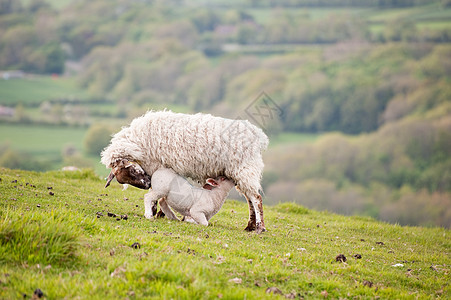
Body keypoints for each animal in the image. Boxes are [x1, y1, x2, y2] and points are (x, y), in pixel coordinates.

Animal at [102, 111, 270, 233]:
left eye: (130, 170)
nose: (146, 183)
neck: (139, 143)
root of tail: (258, 136)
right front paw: (161, 212)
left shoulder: (158, 165)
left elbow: (157, 192)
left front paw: (156, 211)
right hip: (241, 172)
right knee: (249, 198)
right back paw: (250, 226)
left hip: (245, 168)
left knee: (256, 198)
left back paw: (260, 227)